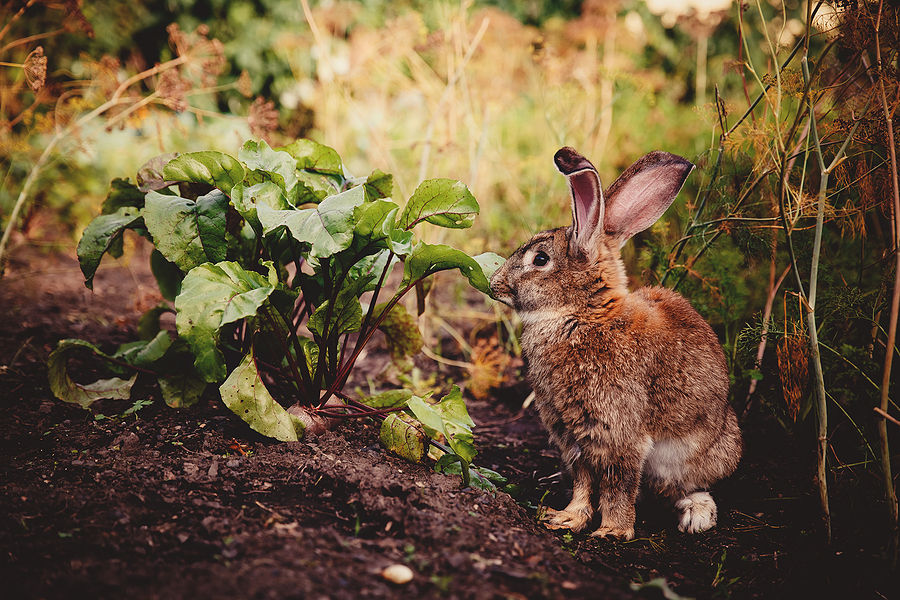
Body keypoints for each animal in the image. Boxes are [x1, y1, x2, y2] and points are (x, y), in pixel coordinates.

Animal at [490, 147, 742, 540]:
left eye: (540, 259)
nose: (493, 284)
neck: (582, 314)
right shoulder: (572, 436)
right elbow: (583, 483)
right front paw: (566, 518)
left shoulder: (619, 432)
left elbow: (617, 486)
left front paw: (612, 531)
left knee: (687, 488)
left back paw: (695, 516)